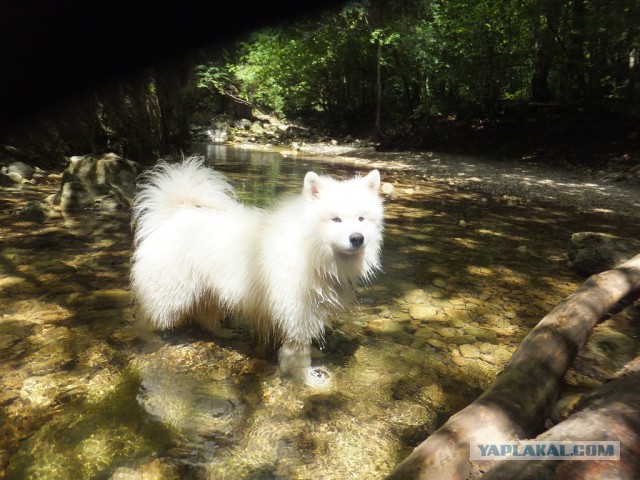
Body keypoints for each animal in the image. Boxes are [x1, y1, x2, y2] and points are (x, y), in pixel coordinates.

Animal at [127, 158, 382, 386]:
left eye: (361, 218)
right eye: (335, 219)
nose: (357, 238)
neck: (312, 250)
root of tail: (173, 215)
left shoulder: (309, 312)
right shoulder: (298, 311)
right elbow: (298, 353)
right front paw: (308, 378)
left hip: (209, 291)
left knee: (205, 316)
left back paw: (223, 332)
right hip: (171, 296)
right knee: (145, 317)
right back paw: (150, 337)